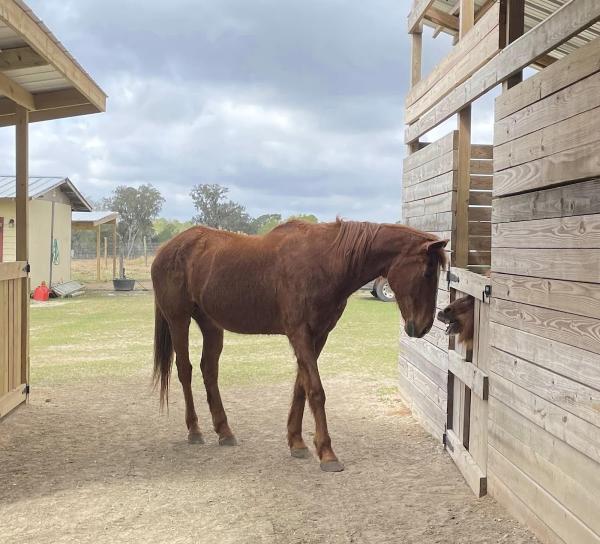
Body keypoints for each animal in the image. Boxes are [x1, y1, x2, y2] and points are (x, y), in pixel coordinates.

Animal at [152, 219, 448, 470]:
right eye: (427, 271)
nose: (423, 326)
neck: (325, 261)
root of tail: (165, 249)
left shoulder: (318, 335)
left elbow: (300, 387)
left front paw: (297, 441)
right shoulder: (300, 333)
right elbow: (315, 390)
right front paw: (327, 452)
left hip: (211, 325)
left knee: (209, 371)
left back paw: (224, 431)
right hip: (179, 320)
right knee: (185, 370)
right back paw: (194, 430)